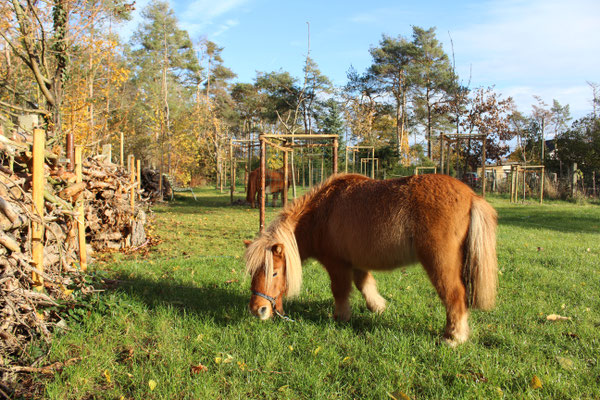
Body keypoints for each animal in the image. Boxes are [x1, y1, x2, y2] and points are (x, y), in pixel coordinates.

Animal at [244, 173, 496, 346]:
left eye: (274, 272)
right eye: (253, 272)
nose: (258, 310)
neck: (320, 214)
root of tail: (471, 196)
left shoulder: (337, 264)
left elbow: (340, 291)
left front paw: (341, 317)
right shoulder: (356, 263)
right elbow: (365, 285)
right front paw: (378, 307)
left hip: (440, 263)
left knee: (455, 296)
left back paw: (453, 338)